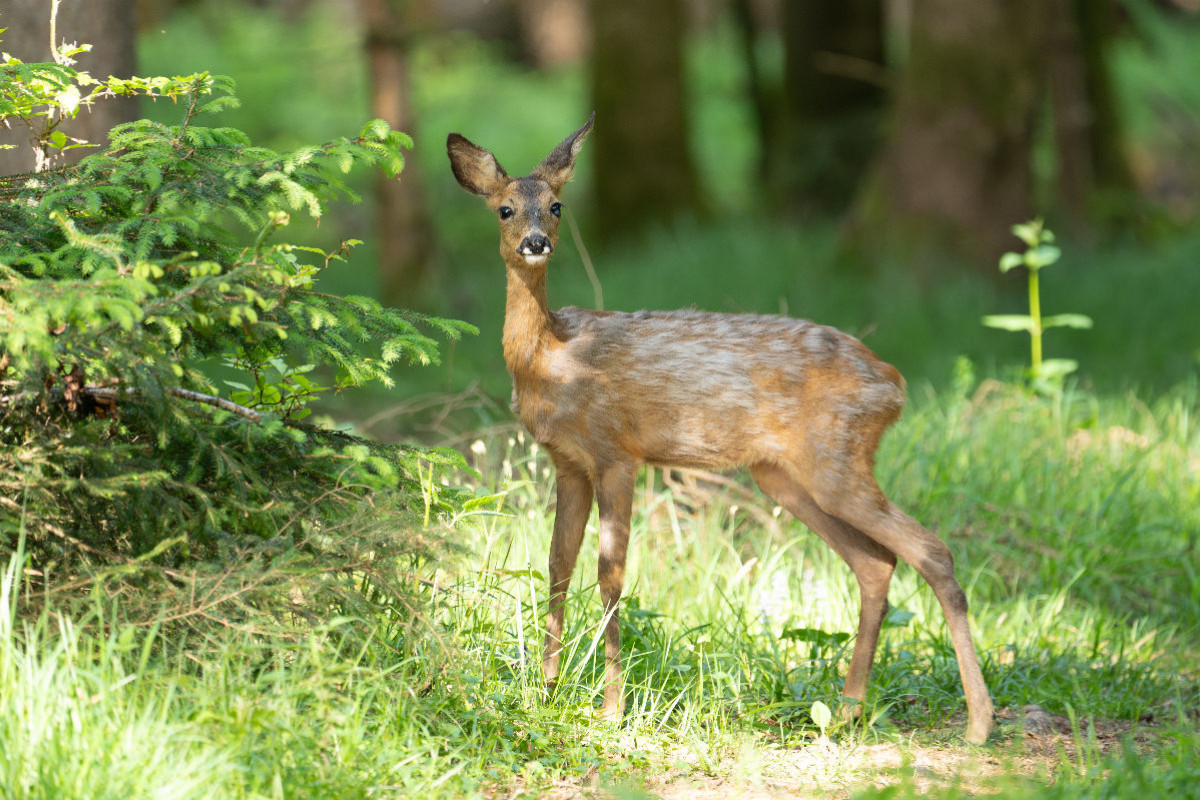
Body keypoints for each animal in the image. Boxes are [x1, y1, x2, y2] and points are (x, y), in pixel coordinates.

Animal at [448, 112, 993, 743]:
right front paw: (546, 690)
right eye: (505, 209)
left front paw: (610, 709)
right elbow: (557, 565)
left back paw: (978, 722)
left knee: (931, 551)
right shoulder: (567, 461)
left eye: (558, 206)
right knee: (877, 563)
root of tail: (895, 385)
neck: (551, 359)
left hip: (836, 456)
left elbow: (611, 574)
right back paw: (849, 710)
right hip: (783, 474)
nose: (537, 243)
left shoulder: (616, 453)